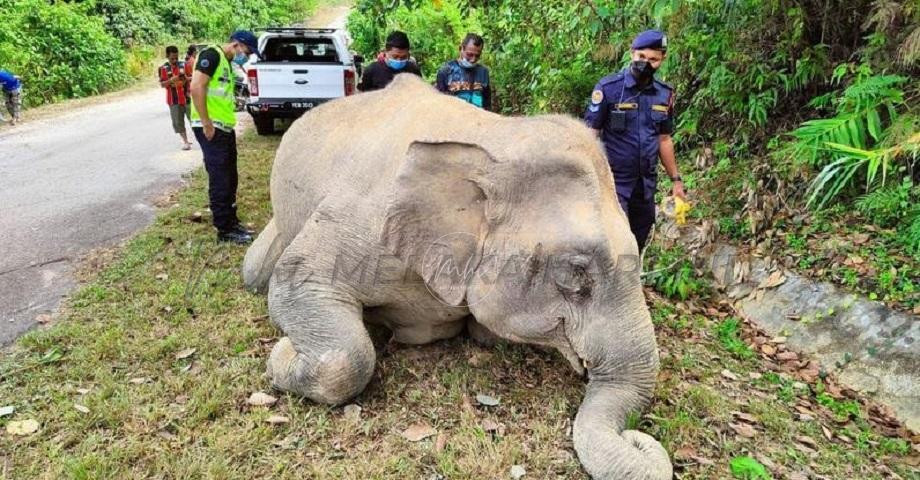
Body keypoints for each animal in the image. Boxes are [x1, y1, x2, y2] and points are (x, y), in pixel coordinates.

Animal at [241, 75, 672, 480]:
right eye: (576, 271)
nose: (636, 438)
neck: (492, 138)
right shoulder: (356, 219)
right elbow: (294, 284)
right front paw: (283, 354)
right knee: (257, 273)